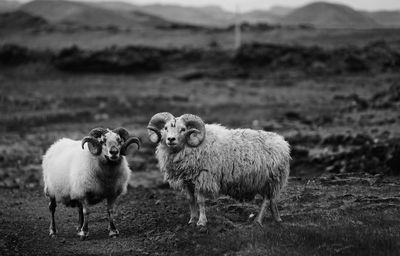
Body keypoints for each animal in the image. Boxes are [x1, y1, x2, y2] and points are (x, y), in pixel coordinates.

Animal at [147, 112, 290, 226]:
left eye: (183, 129)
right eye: (165, 128)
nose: (170, 139)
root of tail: (283, 142)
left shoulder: (203, 178)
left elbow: (200, 201)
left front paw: (201, 222)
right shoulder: (187, 181)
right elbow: (191, 200)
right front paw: (192, 220)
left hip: (271, 179)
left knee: (266, 200)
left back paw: (258, 221)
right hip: (265, 181)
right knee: (271, 200)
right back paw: (277, 218)